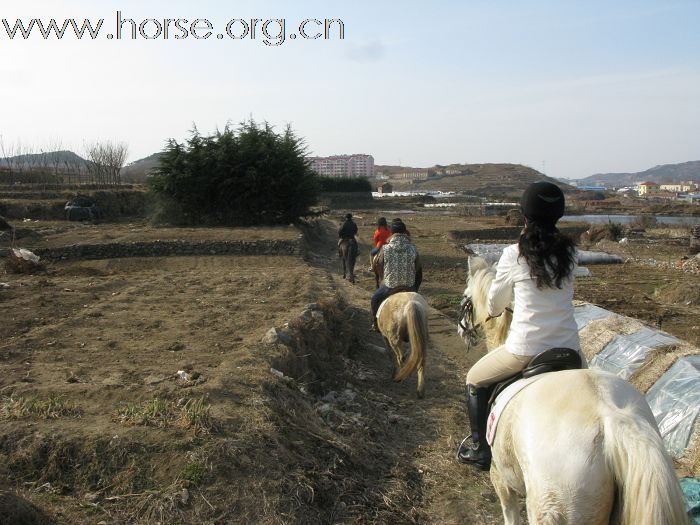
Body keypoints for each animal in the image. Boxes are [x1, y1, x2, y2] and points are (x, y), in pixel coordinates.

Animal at [460, 256, 688, 524]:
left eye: (466, 298)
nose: (461, 331)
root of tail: (613, 418)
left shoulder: (500, 477)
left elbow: (510, 515)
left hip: (558, 500)